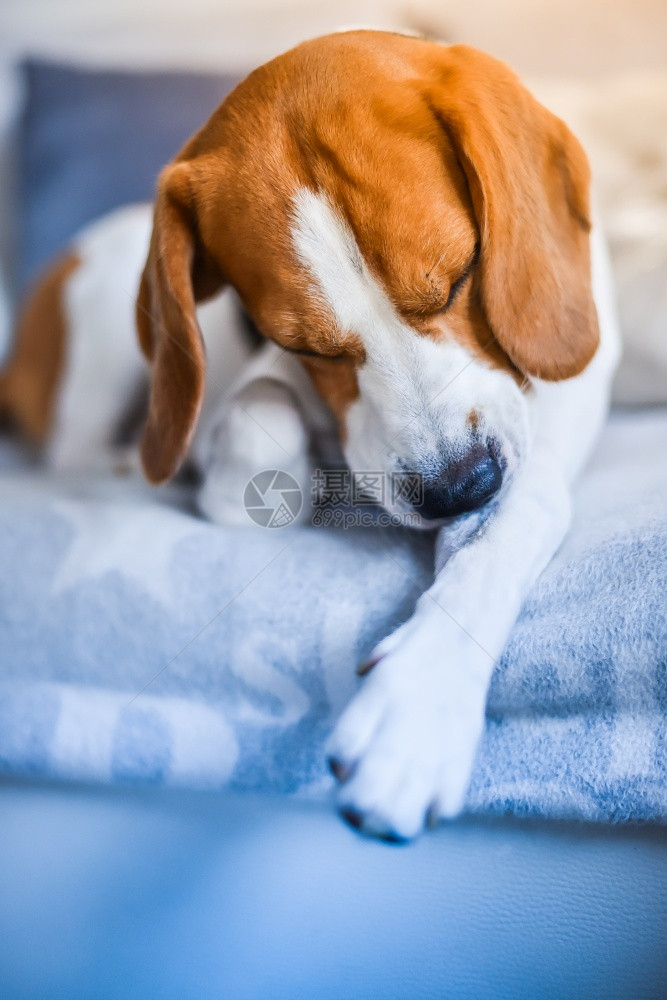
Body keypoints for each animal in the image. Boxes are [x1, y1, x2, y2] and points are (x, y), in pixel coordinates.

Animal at [2, 31, 624, 840]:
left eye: (460, 276)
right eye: (304, 345)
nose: (457, 488)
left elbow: (515, 520)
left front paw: (422, 700)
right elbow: (262, 409)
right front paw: (256, 481)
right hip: (101, 327)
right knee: (77, 453)